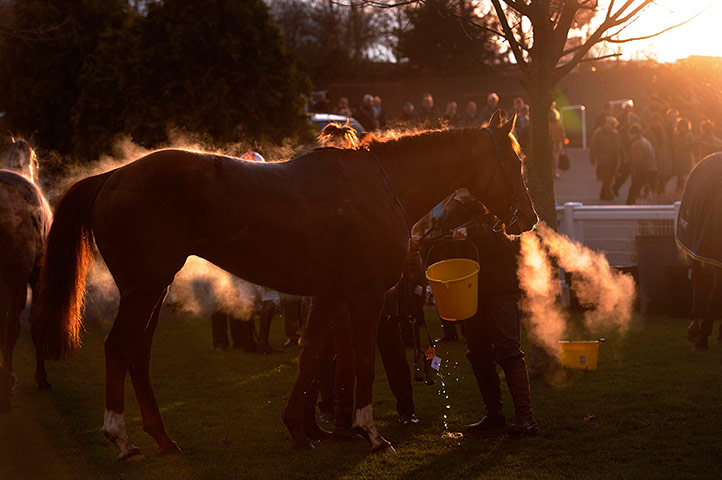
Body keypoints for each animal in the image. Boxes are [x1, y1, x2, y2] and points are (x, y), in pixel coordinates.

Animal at [33, 111, 537, 459]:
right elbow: (360, 362)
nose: (529, 218)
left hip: (152, 289)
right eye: (516, 160)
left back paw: (163, 437)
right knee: (119, 349)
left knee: (138, 355)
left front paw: (299, 427)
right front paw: (371, 433)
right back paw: (121, 440)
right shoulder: (365, 295)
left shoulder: (330, 294)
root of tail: (113, 176)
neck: (379, 186)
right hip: (143, 289)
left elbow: (312, 357)